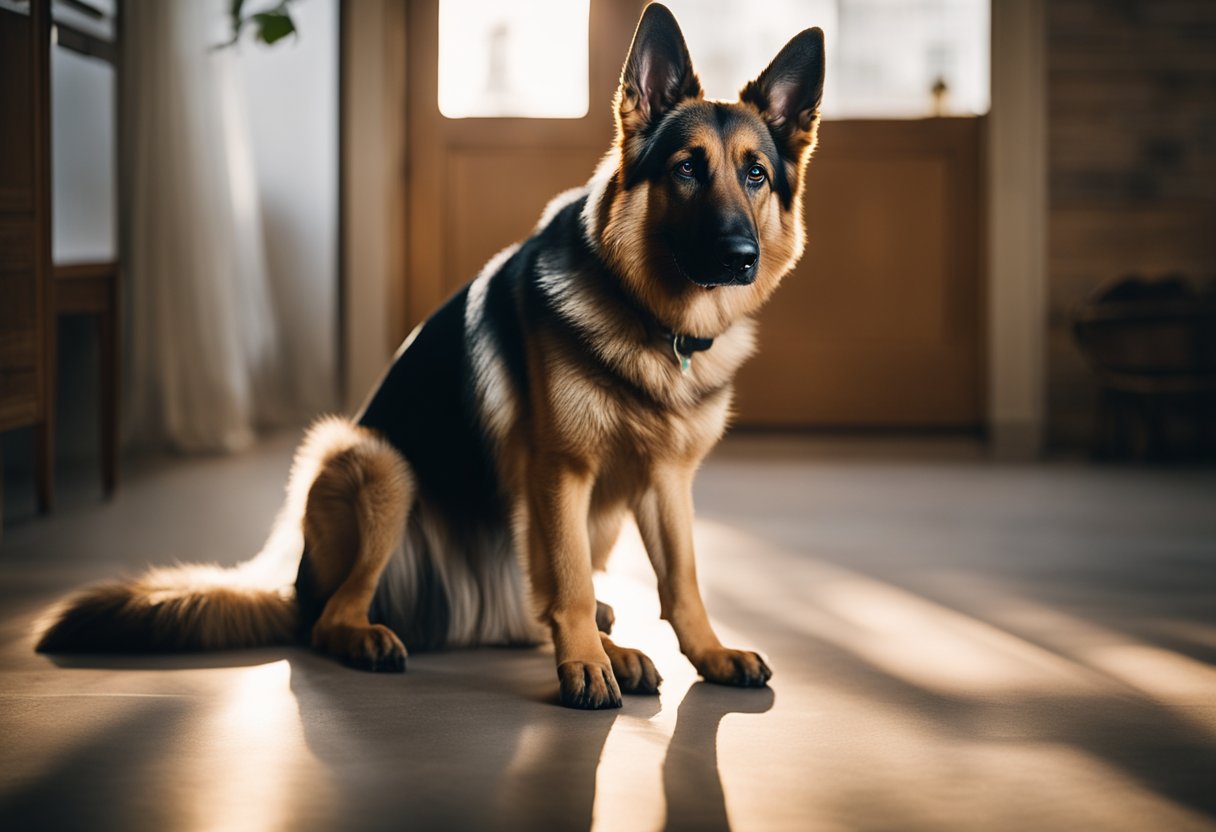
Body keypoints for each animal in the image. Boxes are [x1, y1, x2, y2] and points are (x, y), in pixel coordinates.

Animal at [35, 4, 826, 710]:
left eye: (755, 175)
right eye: (688, 170)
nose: (740, 256)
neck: (654, 322)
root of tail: (293, 585)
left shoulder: (665, 483)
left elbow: (683, 582)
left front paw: (709, 653)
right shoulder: (560, 473)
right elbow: (569, 583)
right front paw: (584, 667)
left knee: (533, 605)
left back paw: (611, 644)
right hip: (375, 461)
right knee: (339, 617)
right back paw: (382, 637)